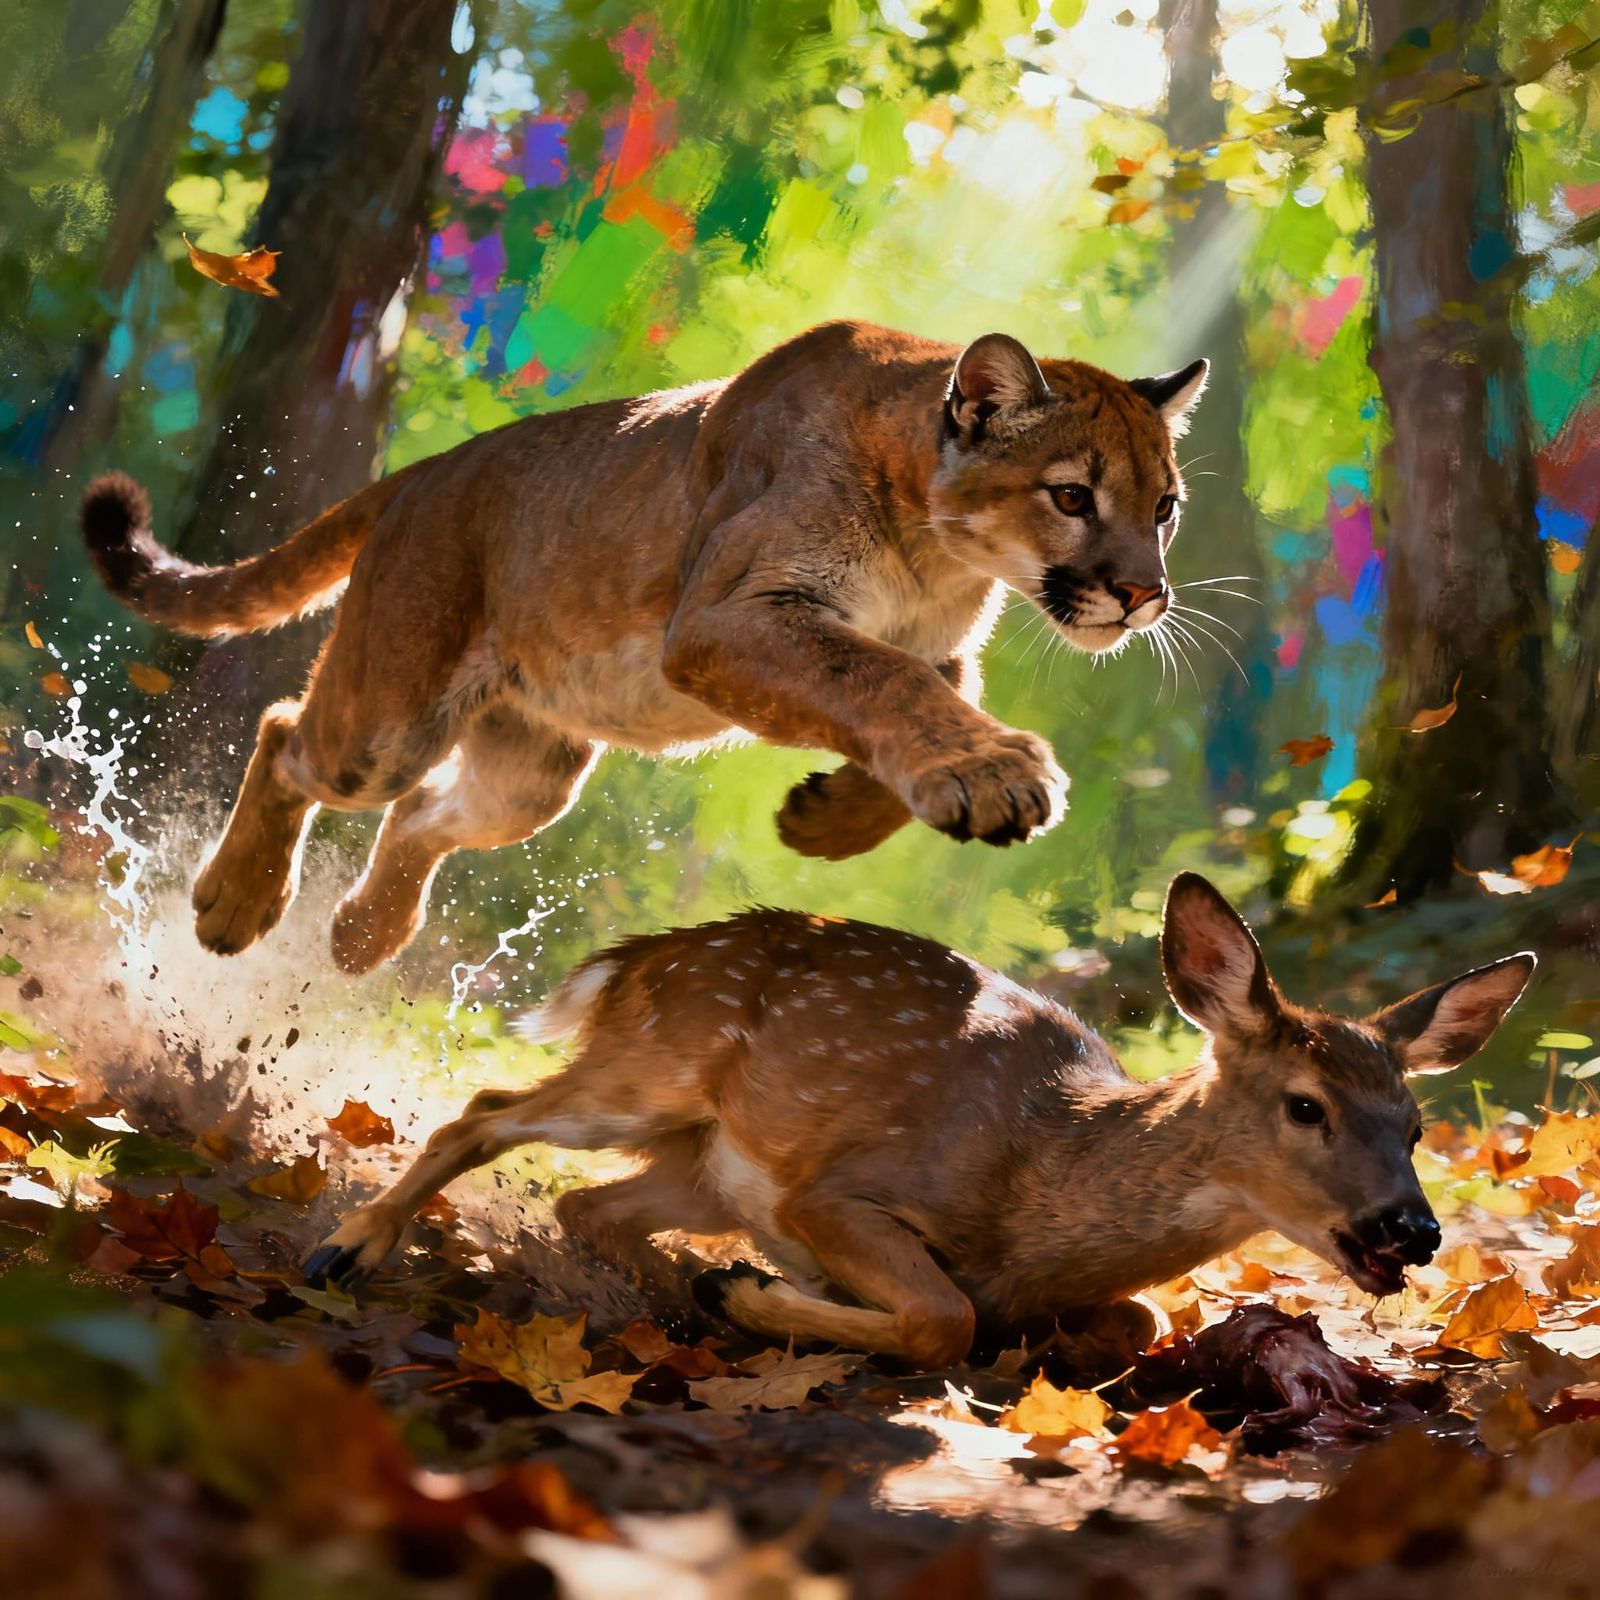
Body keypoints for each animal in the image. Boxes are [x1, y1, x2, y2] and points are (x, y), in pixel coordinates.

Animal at [304, 874, 1534, 1368]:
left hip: (697, 1163)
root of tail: (636, 956)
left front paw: (748, 1296)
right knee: (483, 1109)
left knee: (586, 1209)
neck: (1038, 1186)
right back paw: (344, 1249)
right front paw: (759, 1295)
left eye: (1414, 1125)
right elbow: (945, 1315)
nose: (1412, 1229)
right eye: (1304, 1105)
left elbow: (1131, 1320)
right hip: (653, 1070)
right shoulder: (834, 1192)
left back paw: (689, 1290)